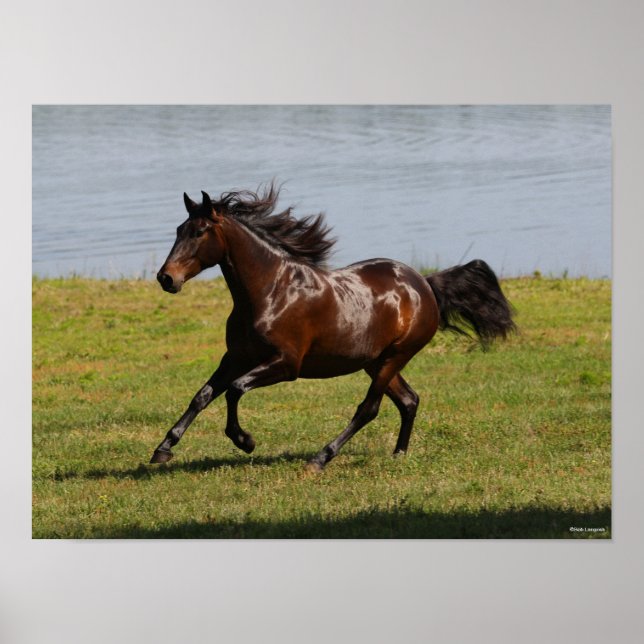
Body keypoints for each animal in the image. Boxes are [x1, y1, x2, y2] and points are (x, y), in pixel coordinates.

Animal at [150, 184, 516, 472]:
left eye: (199, 232)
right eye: (179, 229)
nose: (166, 278)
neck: (269, 292)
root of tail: (425, 284)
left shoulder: (286, 364)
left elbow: (235, 389)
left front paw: (245, 440)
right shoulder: (236, 357)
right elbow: (203, 395)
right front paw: (163, 449)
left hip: (396, 355)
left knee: (369, 408)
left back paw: (321, 458)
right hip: (376, 361)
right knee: (409, 400)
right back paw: (399, 453)